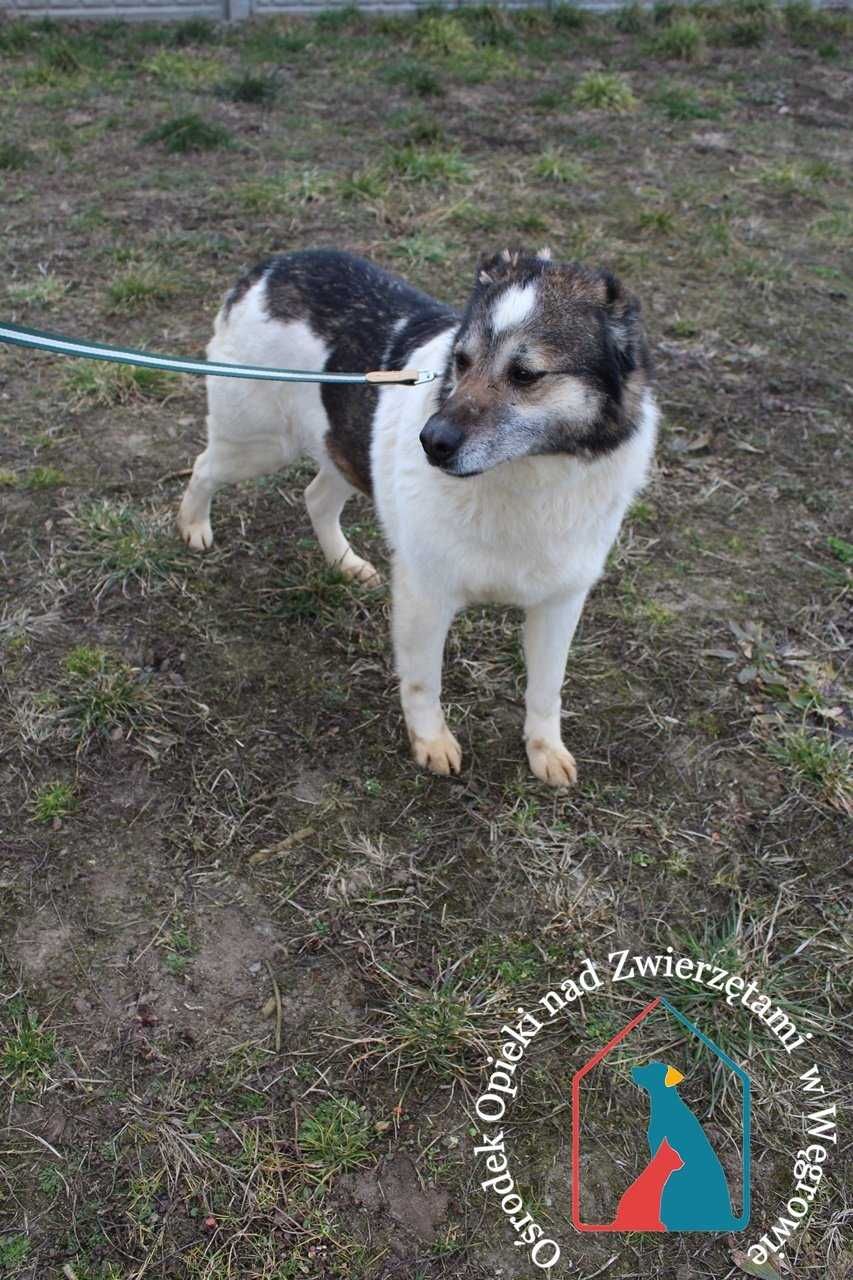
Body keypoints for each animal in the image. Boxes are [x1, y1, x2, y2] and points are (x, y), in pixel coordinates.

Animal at [178, 247, 655, 788]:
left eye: (526, 375)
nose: (431, 442)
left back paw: (344, 563)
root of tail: (272, 265)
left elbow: (546, 687)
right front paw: (431, 742)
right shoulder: (426, 596)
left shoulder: (560, 601)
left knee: (316, 496)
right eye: (461, 361)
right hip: (257, 445)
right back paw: (193, 526)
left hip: (343, 449)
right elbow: (425, 681)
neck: (525, 476)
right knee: (204, 467)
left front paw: (545, 749)